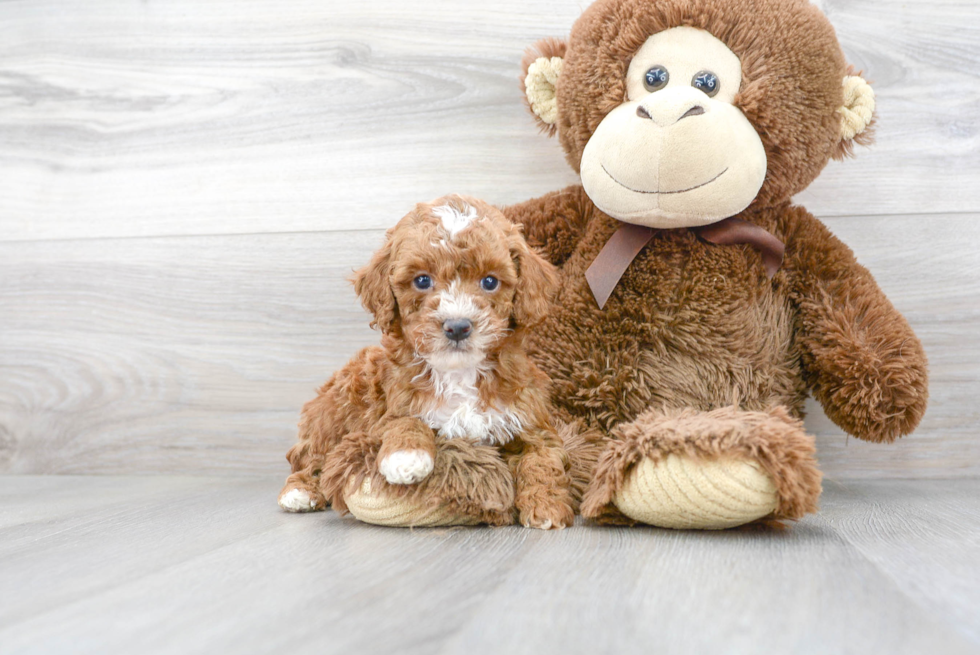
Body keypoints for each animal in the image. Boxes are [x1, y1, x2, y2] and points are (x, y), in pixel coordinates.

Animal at [276, 195, 576, 528]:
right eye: (422, 280)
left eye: (489, 282)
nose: (457, 326)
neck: (459, 373)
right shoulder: (387, 411)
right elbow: (406, 421)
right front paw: (405, 458)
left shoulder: (531, 421)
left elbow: (543, 460)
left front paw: (545, 506)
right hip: (332, 415)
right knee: (308, 456)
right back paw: (300, 492)